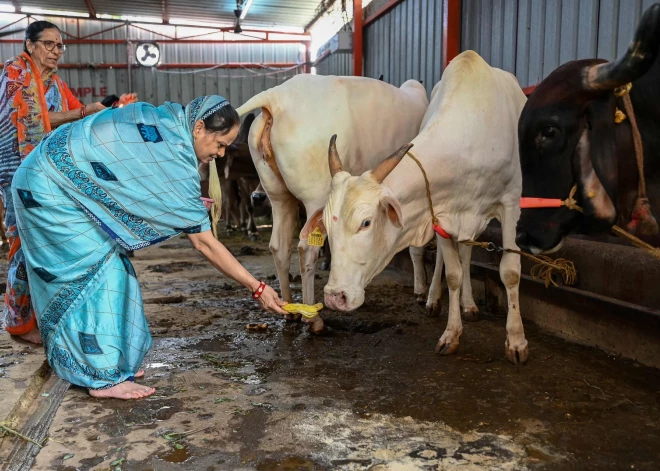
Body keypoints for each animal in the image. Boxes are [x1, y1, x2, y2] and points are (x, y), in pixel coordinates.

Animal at [224, 74, 430, 332]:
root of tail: (276, 97)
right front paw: (421, 291)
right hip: (316, 194)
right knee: (306, 248)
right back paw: (313, 319)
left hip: (278, 195)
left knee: (279, 246)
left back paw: (289, 311)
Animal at [316, 50, 532, 362]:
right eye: (326, 225)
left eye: (366, 222)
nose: (335, 297)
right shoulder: (440, 211)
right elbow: (453, 274)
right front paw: (451, 334)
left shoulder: (511, 203)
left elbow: (510, 272)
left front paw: (516, 341)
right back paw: (434, 299)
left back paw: (469, 304)